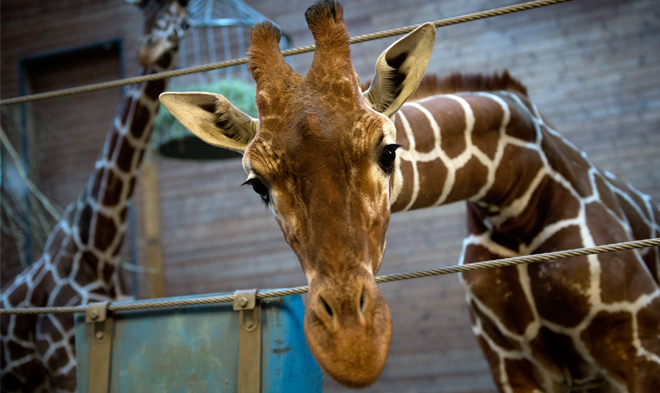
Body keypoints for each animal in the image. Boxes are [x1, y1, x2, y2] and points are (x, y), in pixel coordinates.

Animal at [160, 0, 660, 388]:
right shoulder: (512, 366)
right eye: (258, 185)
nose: (353, 346)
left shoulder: (642, 351)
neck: (514, 194)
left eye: (388, 151)